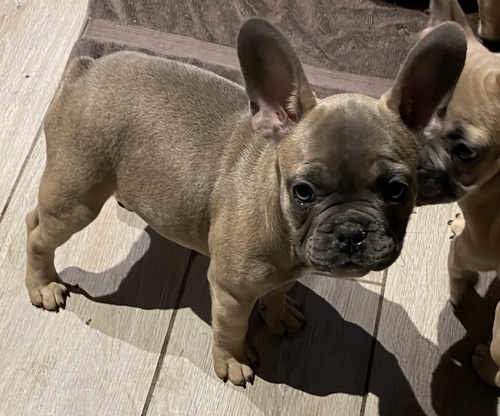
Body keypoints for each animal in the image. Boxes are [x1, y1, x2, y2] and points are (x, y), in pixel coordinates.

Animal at [25, 16, 466, 386]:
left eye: (397, 190)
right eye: (302, 191)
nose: (351, 231)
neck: (281, 221)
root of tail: (86, 70)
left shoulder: (283, 275)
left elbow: (276, 293)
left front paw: (279, 314)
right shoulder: (230, 292)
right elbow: (231, 328)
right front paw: (233, 361)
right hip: (76, 197)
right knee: (37, 235)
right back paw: (42, 285)